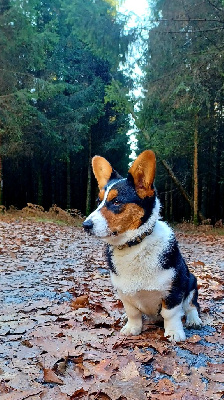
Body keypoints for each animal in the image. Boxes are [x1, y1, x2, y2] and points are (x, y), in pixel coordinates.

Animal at [83, 149, 202, 340]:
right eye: (98, 202)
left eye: (116, 202)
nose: (85, 225)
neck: (133, 246)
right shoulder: (124, 293)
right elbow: (133, 312)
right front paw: (132, 328)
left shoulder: (174, 289)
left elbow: (171, 313)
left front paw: (174, 333)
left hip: (191, 281)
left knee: (191, 306)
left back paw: (193, 320)